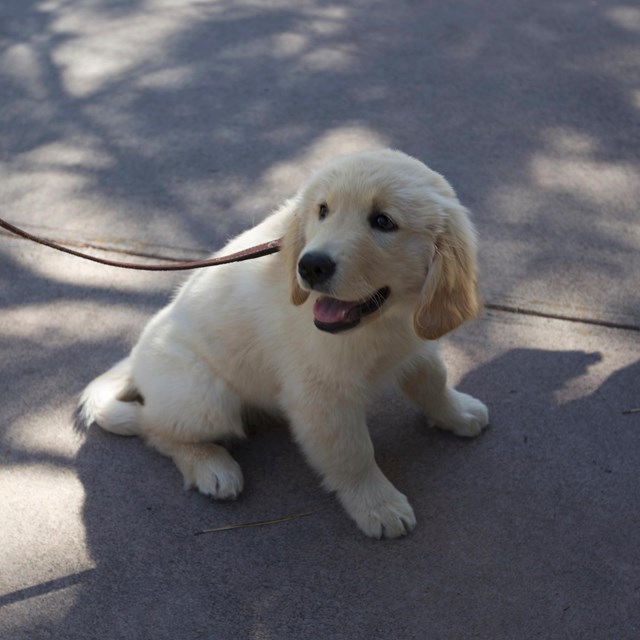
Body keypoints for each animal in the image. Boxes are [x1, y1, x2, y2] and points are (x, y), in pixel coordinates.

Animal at [80, 151, 490, 540]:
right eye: (322, 210)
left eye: (383, 221)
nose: (310, 266)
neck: (381, 323)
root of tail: (136, 359)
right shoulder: (320, 397)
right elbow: (352, 453)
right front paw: (377, 504)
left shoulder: (414, 345)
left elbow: (432, 381)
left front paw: (457, 412)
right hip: (205, 398)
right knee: (155, 428)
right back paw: (212, 465)